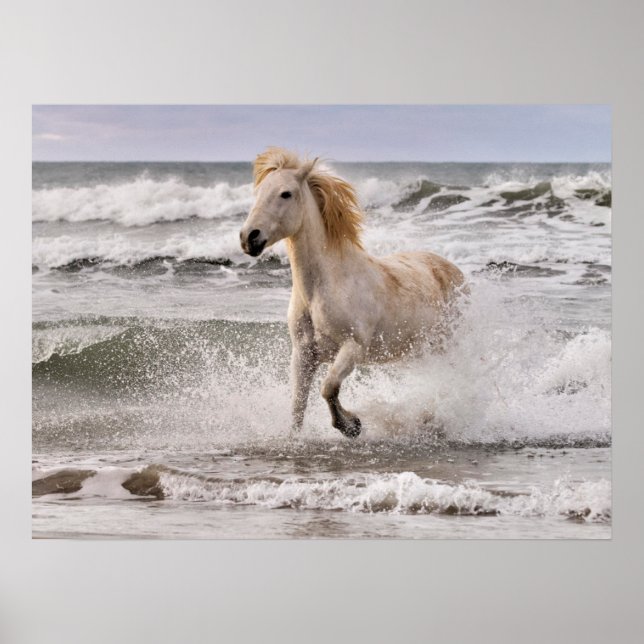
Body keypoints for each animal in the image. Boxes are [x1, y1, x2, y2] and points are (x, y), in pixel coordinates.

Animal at [240, 148, 466, 438]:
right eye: (258, 192)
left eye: (285, 193)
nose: (249, 238)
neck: (322, 288)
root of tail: (453, 270)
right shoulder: (303, 354)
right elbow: (298, 403)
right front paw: (297, 438)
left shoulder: (352, 348)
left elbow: (328, 387)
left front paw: (351, 425)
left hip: (448, 345)